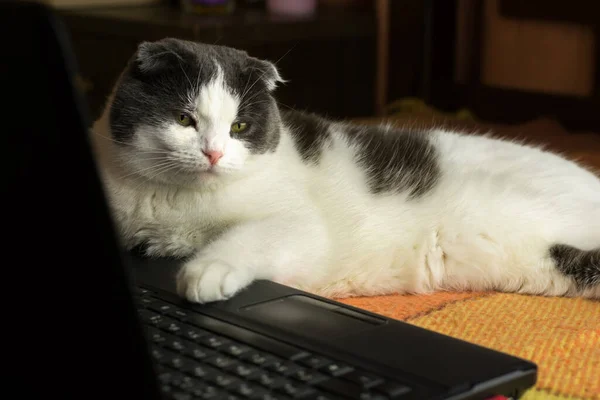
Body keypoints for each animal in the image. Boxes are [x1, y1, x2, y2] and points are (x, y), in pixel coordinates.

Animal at [90, 38, 600, 304]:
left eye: (239, 127)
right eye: (184, 119)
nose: (213, 154)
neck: (174, 202)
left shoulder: (299, 225)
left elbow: (250, 237)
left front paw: (206, 270)